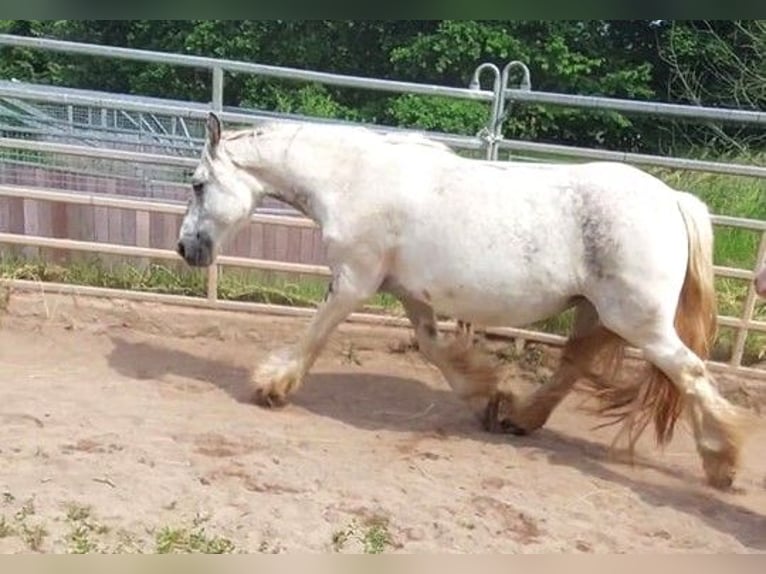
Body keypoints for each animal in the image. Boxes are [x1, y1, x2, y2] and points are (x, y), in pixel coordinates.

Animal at [178, 113, 752, 490]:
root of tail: (673, 199)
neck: (352, 181)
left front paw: (271, 386)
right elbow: (435, 349)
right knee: (574, 365)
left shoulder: (354, 281)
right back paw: (520, 418)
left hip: (639, 321)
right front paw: (485, 396)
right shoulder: (408, 293)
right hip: (597, 312)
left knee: (691, 373)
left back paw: (722, 462)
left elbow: (314, 334)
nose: (186, 248)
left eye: (199, 184)